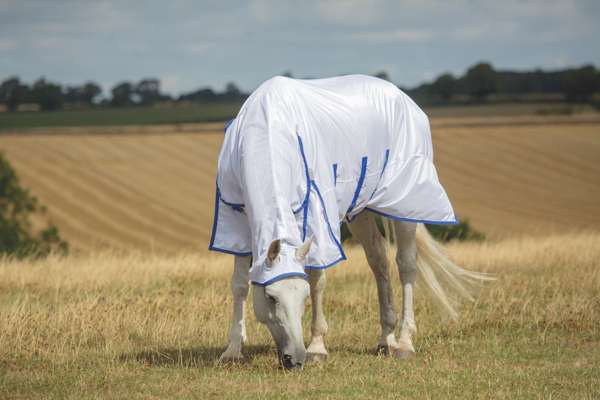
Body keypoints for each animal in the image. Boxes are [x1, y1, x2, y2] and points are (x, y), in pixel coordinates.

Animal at [209, 75, 490, 368]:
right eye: (271, 297)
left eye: (303, 297)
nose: (295, 359)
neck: (269, 132)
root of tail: (403, 97)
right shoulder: (236, 220)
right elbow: (240, 284)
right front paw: (233, 350)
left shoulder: (318, 216)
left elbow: (317, 280)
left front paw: (317, 348)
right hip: (361, 210)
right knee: (379, 260)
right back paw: (385, 340)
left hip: (405, 203)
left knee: (406, 264)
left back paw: (404, 343)